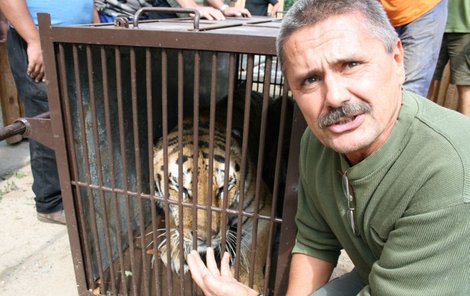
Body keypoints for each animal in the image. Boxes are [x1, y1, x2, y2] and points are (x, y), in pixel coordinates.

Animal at [154, 112, 272, 292]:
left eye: (222, 188)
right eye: (182, 189)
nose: (204, 237)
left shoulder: (263, 210)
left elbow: (254, 247)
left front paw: (244, 282)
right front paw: (175, 249)